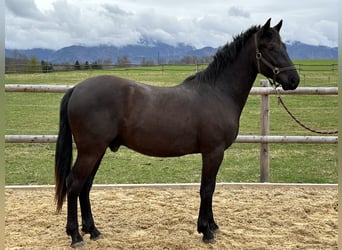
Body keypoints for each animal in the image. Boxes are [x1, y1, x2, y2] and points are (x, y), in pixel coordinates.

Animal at [54, 18, 300, 247]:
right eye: (271, 47)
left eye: (284, 46)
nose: (294, 80)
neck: (218, 93)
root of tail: (76, 89)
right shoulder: (213, 152)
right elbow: (207, 189)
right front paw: (206, 231)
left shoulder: (214, 154)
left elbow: (211, 188)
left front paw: (212, 225)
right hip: (91, 151)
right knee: (74, 184)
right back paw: (75, 236)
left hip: (98, 150)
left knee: (85, 186)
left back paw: (93, 231)